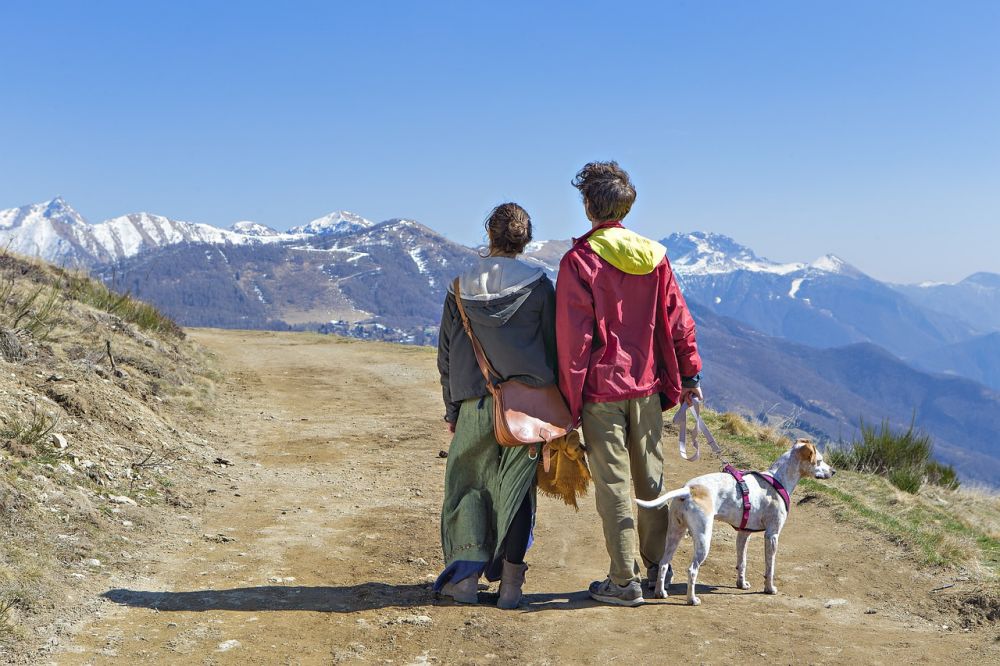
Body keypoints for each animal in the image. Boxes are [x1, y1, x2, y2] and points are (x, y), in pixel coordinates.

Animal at [636, 440, 832, 600]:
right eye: (819, 461)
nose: (834, 471)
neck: (778, 479)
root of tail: (688, 489)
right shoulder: (772, 535)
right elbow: (770, 567)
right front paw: (769, 588)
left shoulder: (744, 534)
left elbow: (742, 562)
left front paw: (742, 584)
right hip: (703, 539)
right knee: (692, 570)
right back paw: (692, 600)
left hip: (674, 534)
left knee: (663, 563)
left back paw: (660, 592)